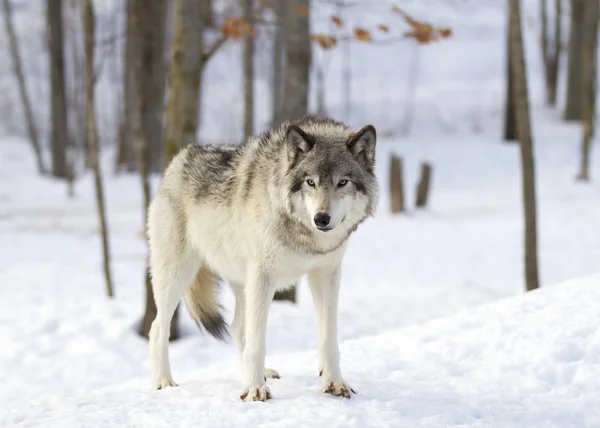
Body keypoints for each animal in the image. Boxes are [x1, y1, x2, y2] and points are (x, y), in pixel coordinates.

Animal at [147, 114, 378, 402]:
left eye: (342, 182)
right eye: (310, 182)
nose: (321, 219)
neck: (304, 236)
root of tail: (178, 159)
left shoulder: (326, 274)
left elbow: (328, 338)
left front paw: (334, 382)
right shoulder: (263, 276)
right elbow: (258, 341)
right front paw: (254, 389)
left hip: (241, 283)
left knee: (237, 327)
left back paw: (263, 372)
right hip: (177, 276)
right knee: (158, 327)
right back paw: (163, 382)